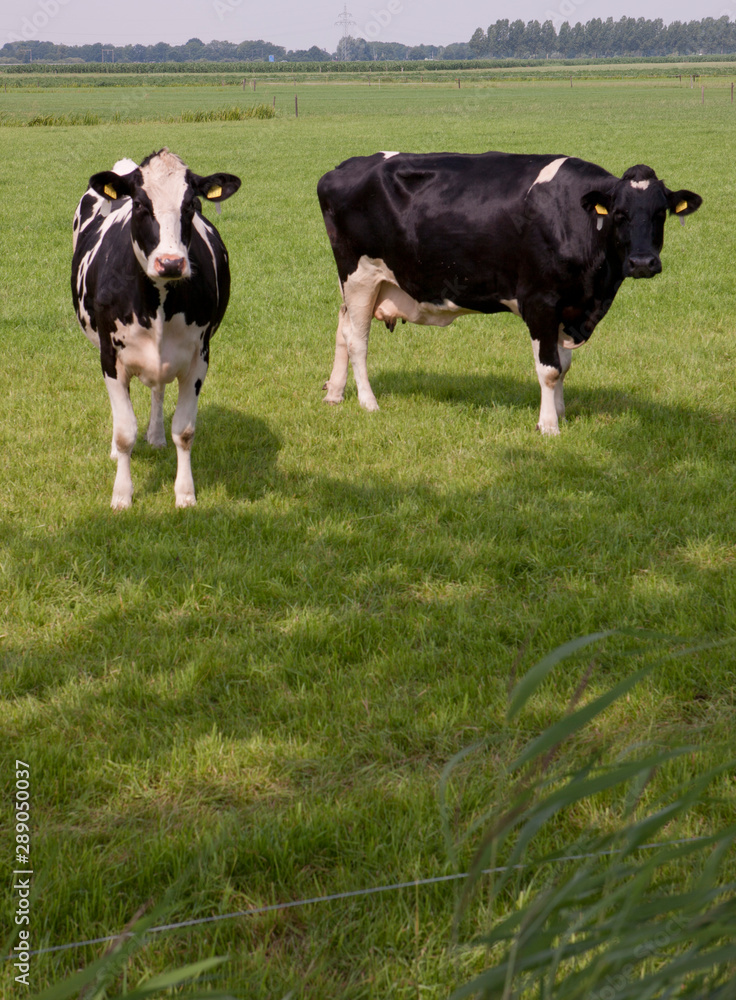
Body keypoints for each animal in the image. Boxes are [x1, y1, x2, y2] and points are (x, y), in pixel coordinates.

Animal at [71, 148, 240, 508]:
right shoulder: (110, 358)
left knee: (158, 390)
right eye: (139, 205)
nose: (171, 263)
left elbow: (185, 431)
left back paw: (156, 436)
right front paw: (122, 495)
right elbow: (124, 432)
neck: (158, 301)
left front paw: (185, 494)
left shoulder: (199, 357)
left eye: (192, 205)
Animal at [316, 150, 700, 432]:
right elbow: (549, 368)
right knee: (358, 340)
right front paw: (548, 426)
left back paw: (334, 393)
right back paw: (368, 402)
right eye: (619, 213)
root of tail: (341, 168)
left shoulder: (569, 307)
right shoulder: (540, 301)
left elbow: (564, 365)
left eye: (660, 213)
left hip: (363, 283)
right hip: (360, 275)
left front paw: (561, 413)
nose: (642, 262)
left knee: (342, 327)